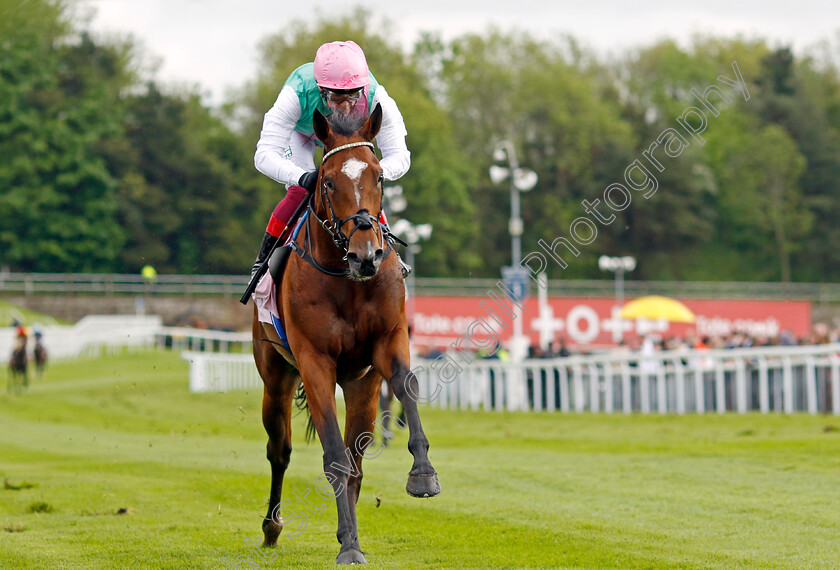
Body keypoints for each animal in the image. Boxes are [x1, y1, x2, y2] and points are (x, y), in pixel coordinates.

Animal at [251, 103, 440, 564]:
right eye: (329, 180)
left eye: (380, 176)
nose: (366, 255)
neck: (347, 279)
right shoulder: (314, 361)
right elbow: (332, 454)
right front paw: (350, 546)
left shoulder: (389, 340)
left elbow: (405, 386)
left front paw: (422, 474)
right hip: (274, 374)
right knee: (279, 449)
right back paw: (273, 526)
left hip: (360, 386)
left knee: (358, 455)